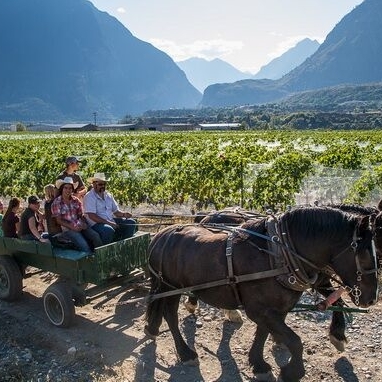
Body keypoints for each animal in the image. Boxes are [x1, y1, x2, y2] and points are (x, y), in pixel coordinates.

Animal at [144, 207, 380, 380]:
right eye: (365, 255)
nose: (371, 298)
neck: (278, 255)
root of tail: (160, 235)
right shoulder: (259, 309)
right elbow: (295, 341)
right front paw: (292, 372)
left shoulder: (275, 309)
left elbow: (263, 333)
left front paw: (258, 363)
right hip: (170, 287)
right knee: (170, 315)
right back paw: (186, 353)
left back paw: (154, 329)